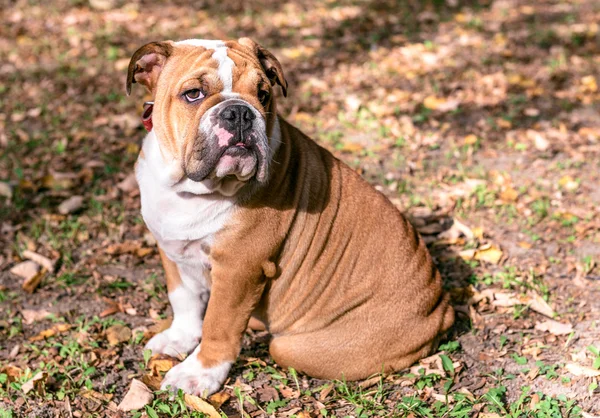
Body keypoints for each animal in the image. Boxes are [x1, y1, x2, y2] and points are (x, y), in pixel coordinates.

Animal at [127, 37, 454, 396]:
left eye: (263, 94)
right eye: (193, 94)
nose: (239, 112)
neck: (194, 190)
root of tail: (440, 308)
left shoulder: (239, 268)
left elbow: (218, 325)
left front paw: (198, 372)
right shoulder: (170, 248)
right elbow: (183, 299)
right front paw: (179, 338)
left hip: (293, 346)